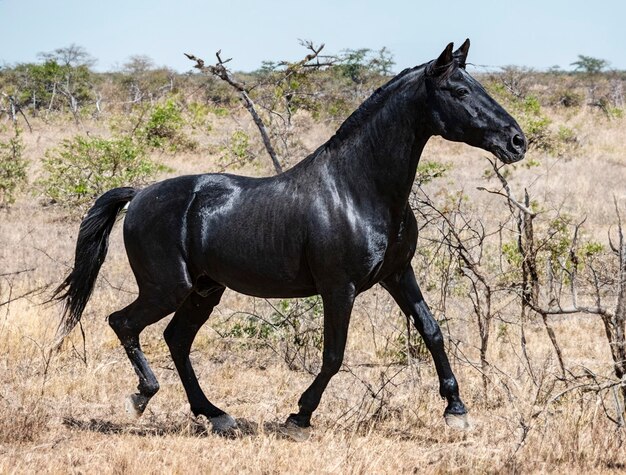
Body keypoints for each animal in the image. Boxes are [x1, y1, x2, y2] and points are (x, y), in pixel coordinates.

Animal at [53, 40, 524, 436]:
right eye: (459, 91)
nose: (517, 141)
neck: (358, 188)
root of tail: (139, 195)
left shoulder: (397, 274)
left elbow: (432, 331)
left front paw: (456, 410)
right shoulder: (339, 288)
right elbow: (333, 354)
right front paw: (300, 414)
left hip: (205, 290)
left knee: (176, 339)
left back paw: (216, 414)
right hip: (167, 287)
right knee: (124, 323)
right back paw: (143, 396)